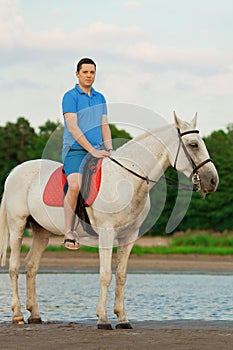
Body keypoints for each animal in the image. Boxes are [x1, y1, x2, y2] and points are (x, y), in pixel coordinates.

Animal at [0, 113, 218, 330]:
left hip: (41, 231)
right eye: (193, 144)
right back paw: (17, 314)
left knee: (31, 266)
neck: (126, 178)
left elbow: (121, 276)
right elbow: (105, 275)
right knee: (14, 267)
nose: (213, 181)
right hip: (18, 225)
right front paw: (103, 319)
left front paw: (122, 319)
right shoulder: (106, 233)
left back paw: (35, 315)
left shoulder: (129, 236)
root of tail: (15, 172)